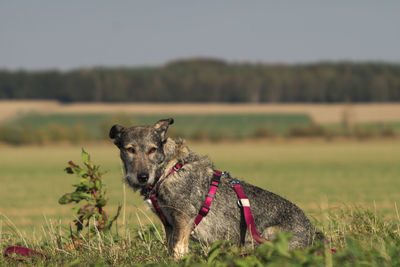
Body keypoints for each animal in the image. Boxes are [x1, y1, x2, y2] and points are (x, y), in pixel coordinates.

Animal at [109, 119, 318, 260]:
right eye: (130, 149)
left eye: (152, 150)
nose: (142, 177)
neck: (168, 170)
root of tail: (314, 235)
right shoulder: (169, 224)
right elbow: (172, 248)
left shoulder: (183, 219)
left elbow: (178, 250)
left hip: (266, 236)